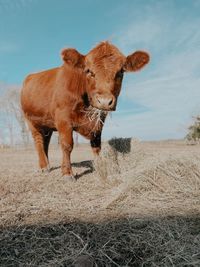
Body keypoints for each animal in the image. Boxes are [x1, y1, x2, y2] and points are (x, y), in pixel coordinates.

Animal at [21, 42, 149, 180]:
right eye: (88, 71)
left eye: (121, 72)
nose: (104, 101)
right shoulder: (63, 119)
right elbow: (67, 145)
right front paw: (67, 173)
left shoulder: (98, 122)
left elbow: (97, 146)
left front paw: (100, 167)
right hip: (31, 121)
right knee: (38, 141)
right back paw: (43, 167)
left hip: (47, 125)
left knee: (46, 142)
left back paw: (48, 164)